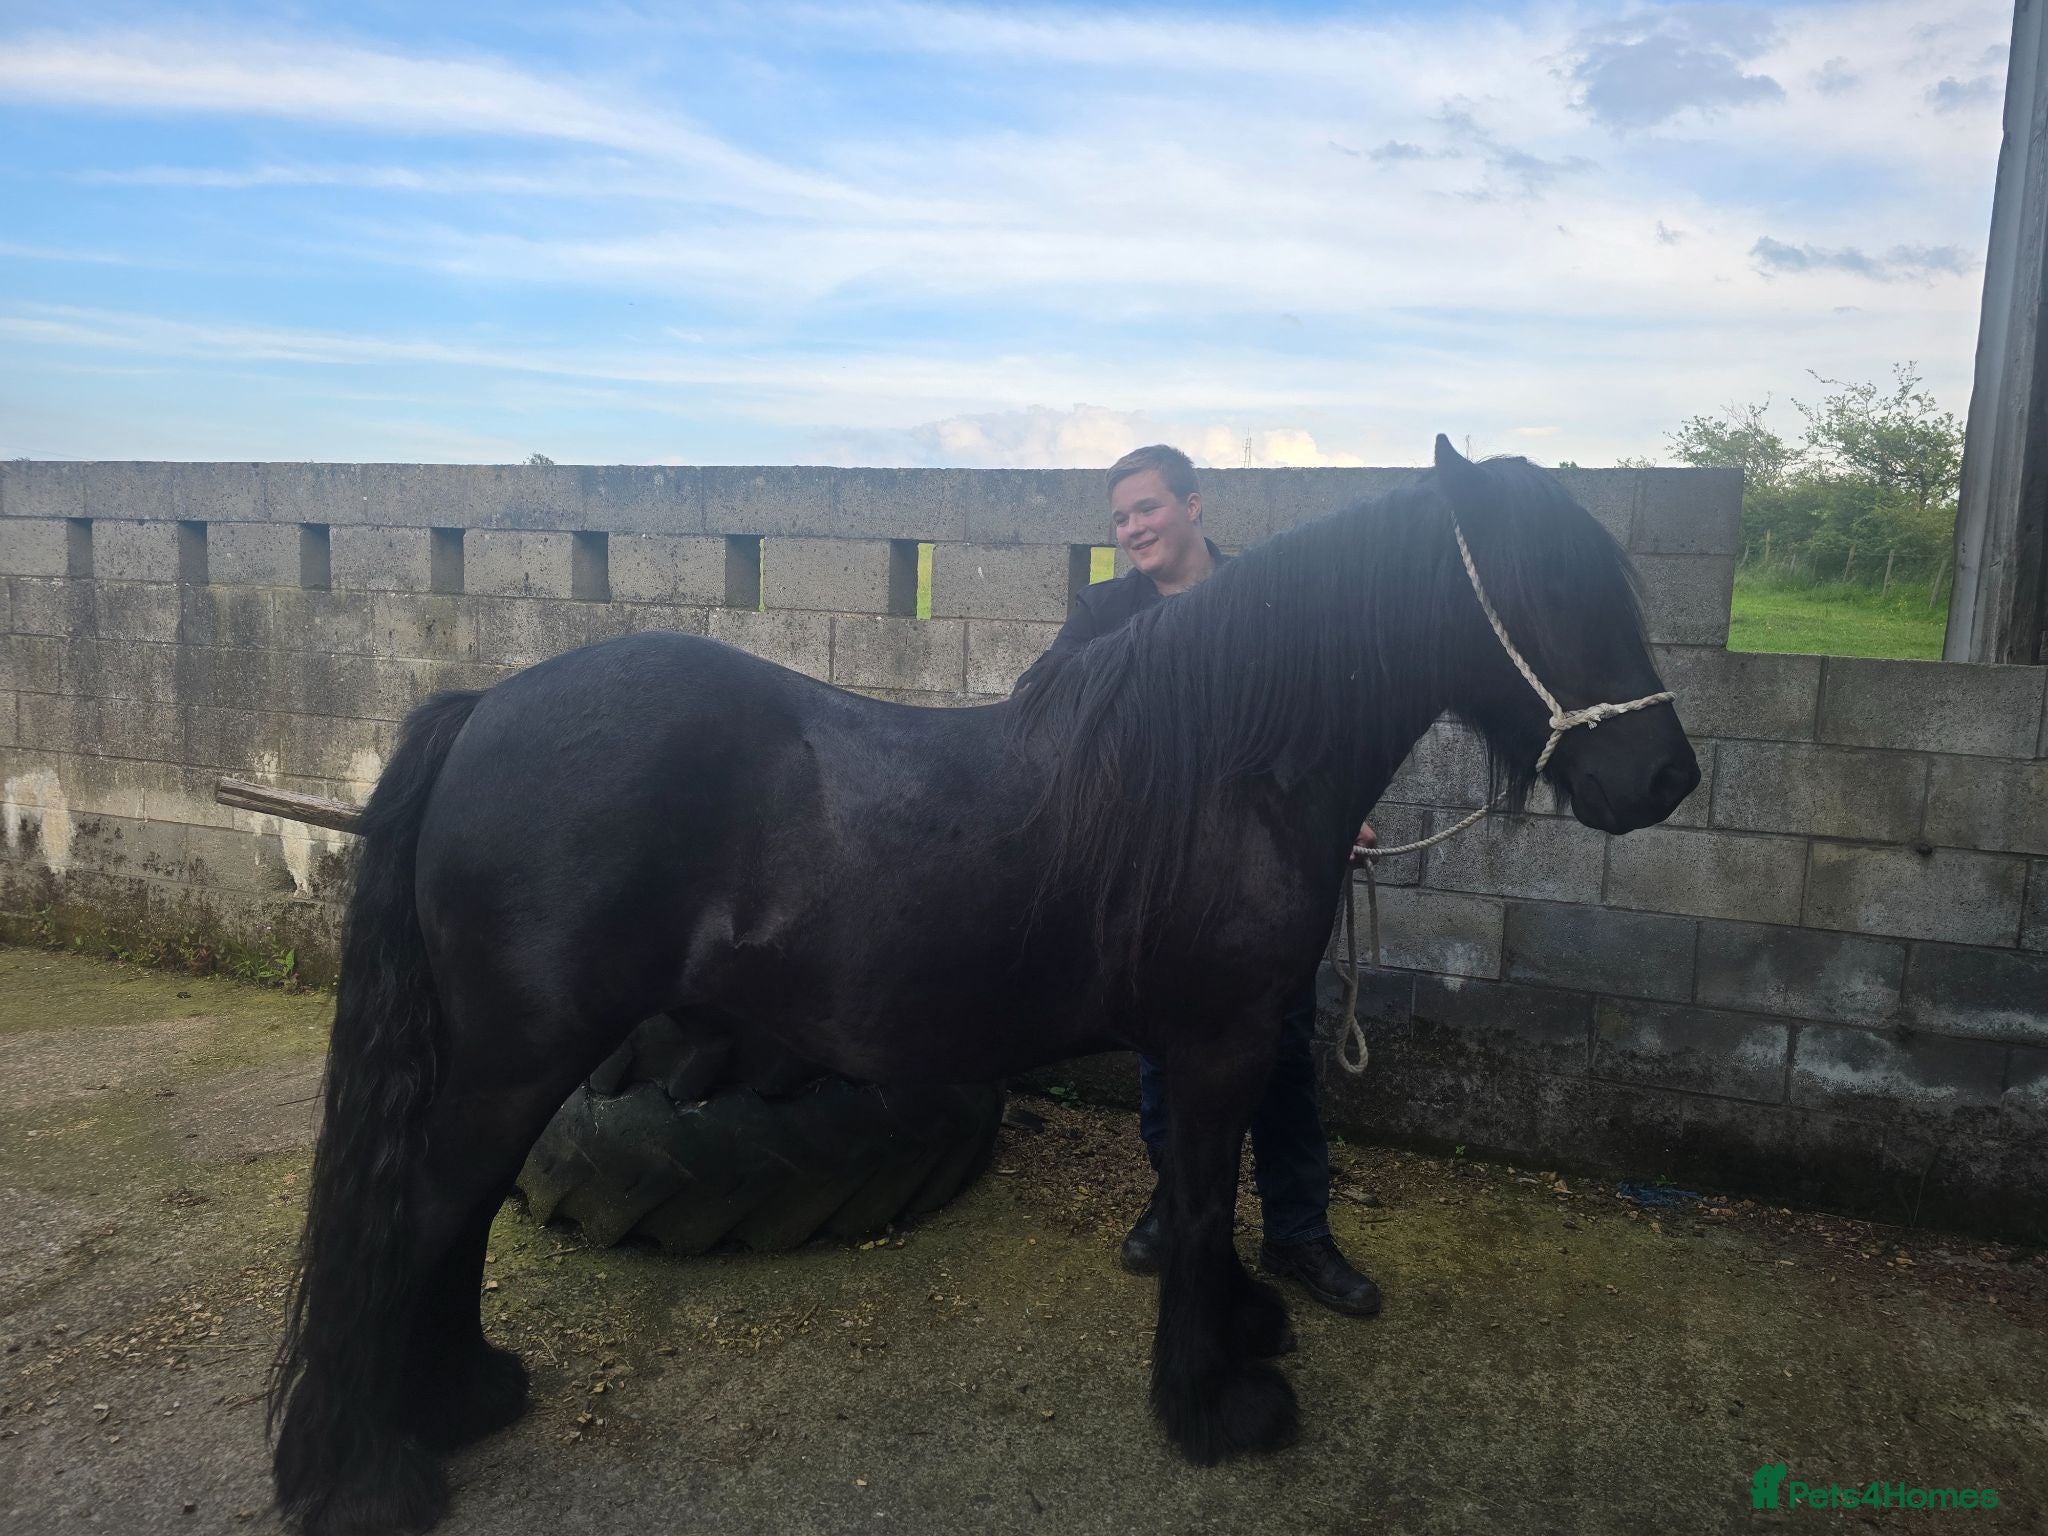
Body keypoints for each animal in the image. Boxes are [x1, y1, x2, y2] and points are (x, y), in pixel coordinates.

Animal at [269, 437, 1699, 1534]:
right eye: (1551, 588)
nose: (1666, 779)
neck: (1219, 769)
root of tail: (484, 708)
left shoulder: (1219, 1044)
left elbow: (1218, 1193)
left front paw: (1243, 1330)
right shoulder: (1219, 1040)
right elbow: (1198, 1203)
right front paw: (1212, 1403)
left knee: (450, 1217)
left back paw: (461, 1399)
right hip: (520, 1055)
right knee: (418, 1217)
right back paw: (371, 1474)